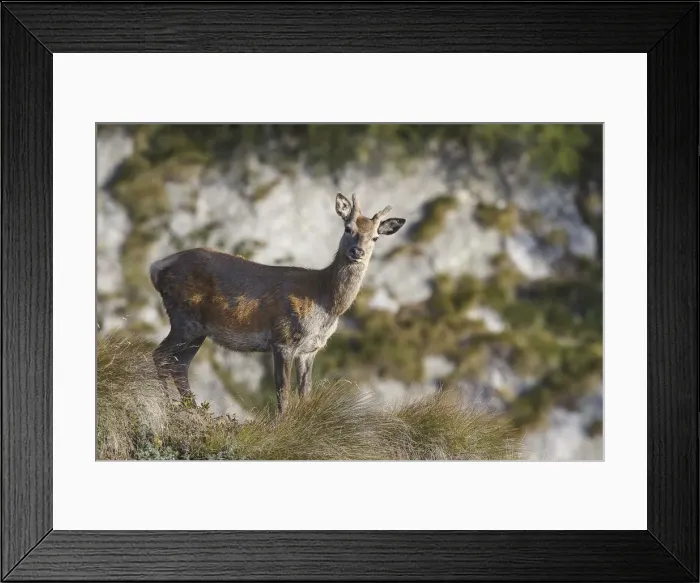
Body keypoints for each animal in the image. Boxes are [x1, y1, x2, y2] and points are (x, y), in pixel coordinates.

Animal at [149, 193, 406, 414]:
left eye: (375, 237)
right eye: (348, 228)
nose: (357, 251)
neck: (326, 303)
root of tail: (156, 267)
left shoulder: (310, 350)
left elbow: (305, 393)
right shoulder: (283, 339)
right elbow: (283, 395)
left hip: (198, 330)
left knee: (180, 365)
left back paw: (192, 409)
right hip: (184, 318)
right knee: (160, 355)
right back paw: (166, 404)